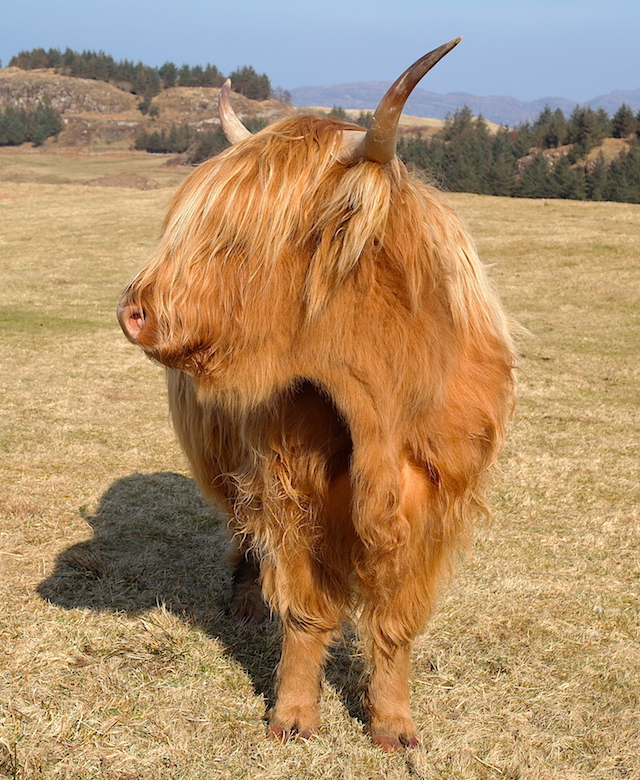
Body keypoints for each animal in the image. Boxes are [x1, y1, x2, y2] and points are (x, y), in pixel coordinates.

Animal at [117, 38, 516, 750]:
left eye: (247, 233)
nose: (134, 312)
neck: (383, 397)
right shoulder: (291, 485)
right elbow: (306, 611)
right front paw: (294, 715)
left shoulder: (433, 501)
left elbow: (395, 622)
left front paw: (394, 725)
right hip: (231, 469)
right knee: (245, 536)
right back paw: (246, 604)